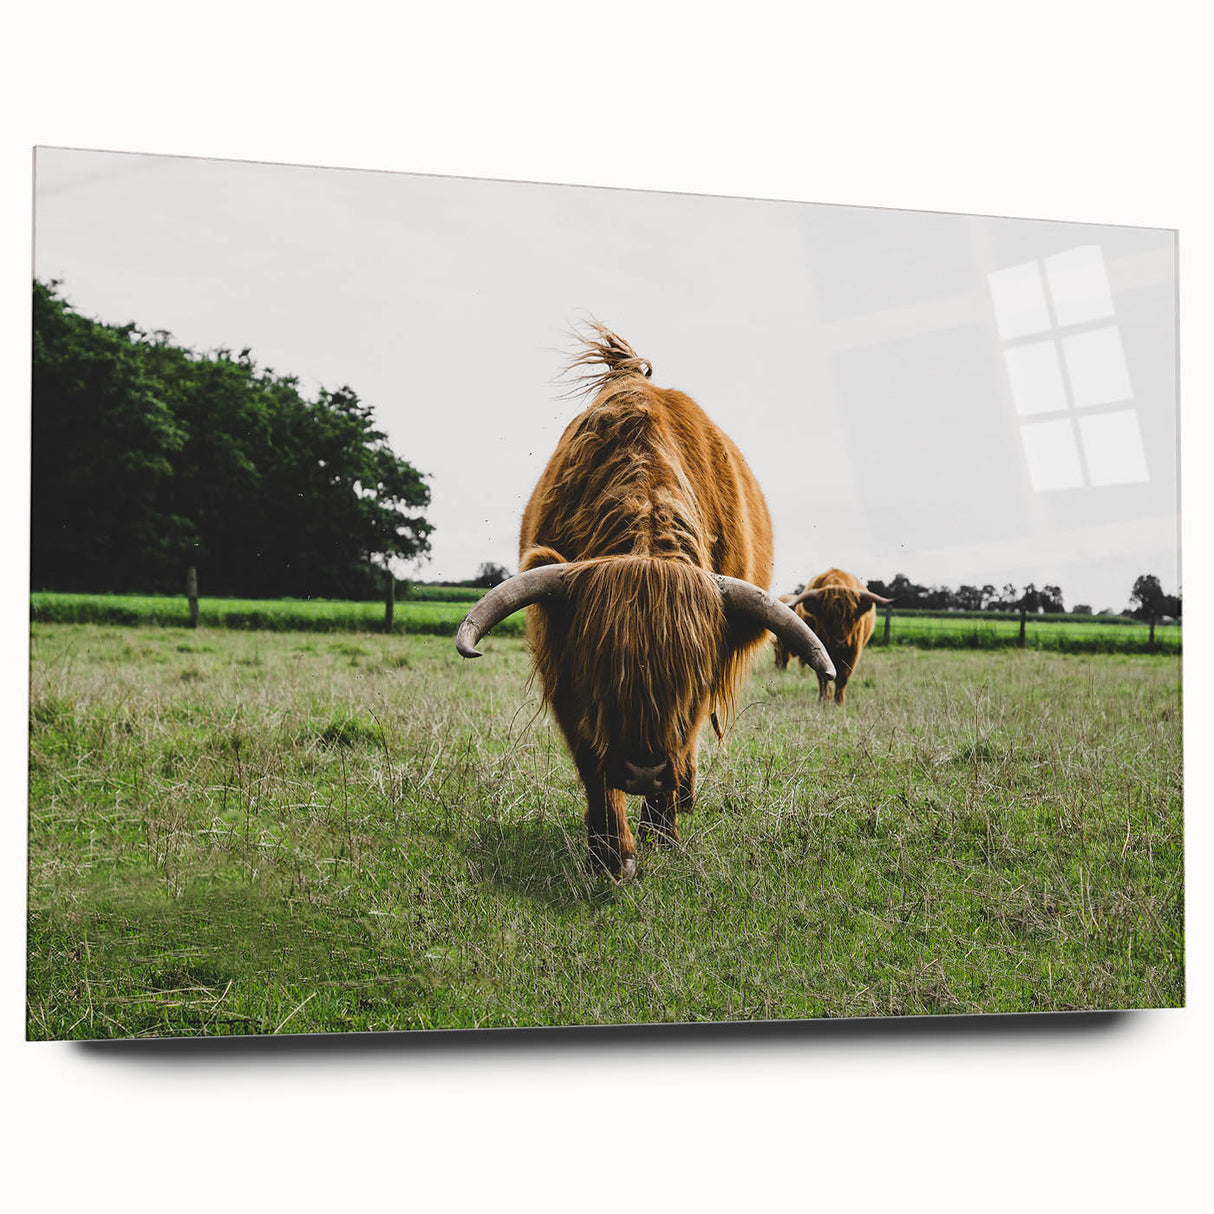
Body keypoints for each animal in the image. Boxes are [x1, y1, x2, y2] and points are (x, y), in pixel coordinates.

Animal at [456, 324, 835, 878]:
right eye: (599, 672)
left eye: (691, 681)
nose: (642, 770)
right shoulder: (565, 673)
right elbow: (593, 766)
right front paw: (613, 853)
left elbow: (682, 746)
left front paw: (663, 833)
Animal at [783, 568, 892, 704]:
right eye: (827, 618)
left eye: (851, 618)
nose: (840, 643)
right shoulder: (819, 651)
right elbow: (823, 678)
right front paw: (824, 700)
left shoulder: (852, 652)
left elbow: (843, 677)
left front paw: (839, 702)